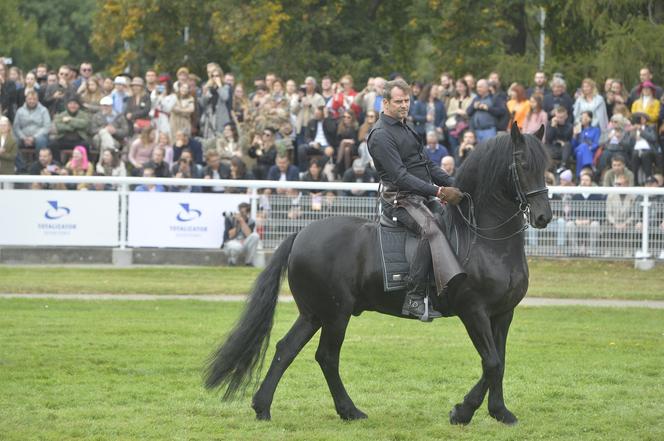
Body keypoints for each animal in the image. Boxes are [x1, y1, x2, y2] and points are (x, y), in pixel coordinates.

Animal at [205, 123, 552, 422]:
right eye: (522, 163)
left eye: (546, 164)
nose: (543, 217)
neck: (484, 239)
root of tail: (301, 234)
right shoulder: (473, 310)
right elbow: (491, 362)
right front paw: (462, 412)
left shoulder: (503, 313)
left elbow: (498, 362)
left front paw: (499, 412)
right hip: (336, 313)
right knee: (326, 357)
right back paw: (348, 410)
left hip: (314, 314)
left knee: (286, 349)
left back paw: (263, 407)